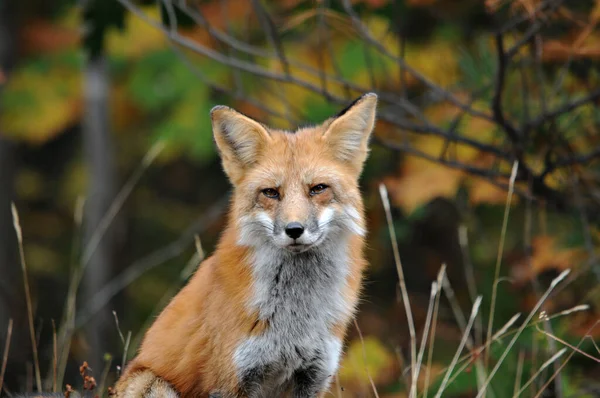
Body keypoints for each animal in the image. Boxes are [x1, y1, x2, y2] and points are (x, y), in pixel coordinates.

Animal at [115, 94, 378, 398]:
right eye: (271, 193)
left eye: (318, 189)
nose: (294, 230)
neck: (295, 320)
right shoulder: (232, 378)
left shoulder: (314, 375)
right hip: (152, 383)